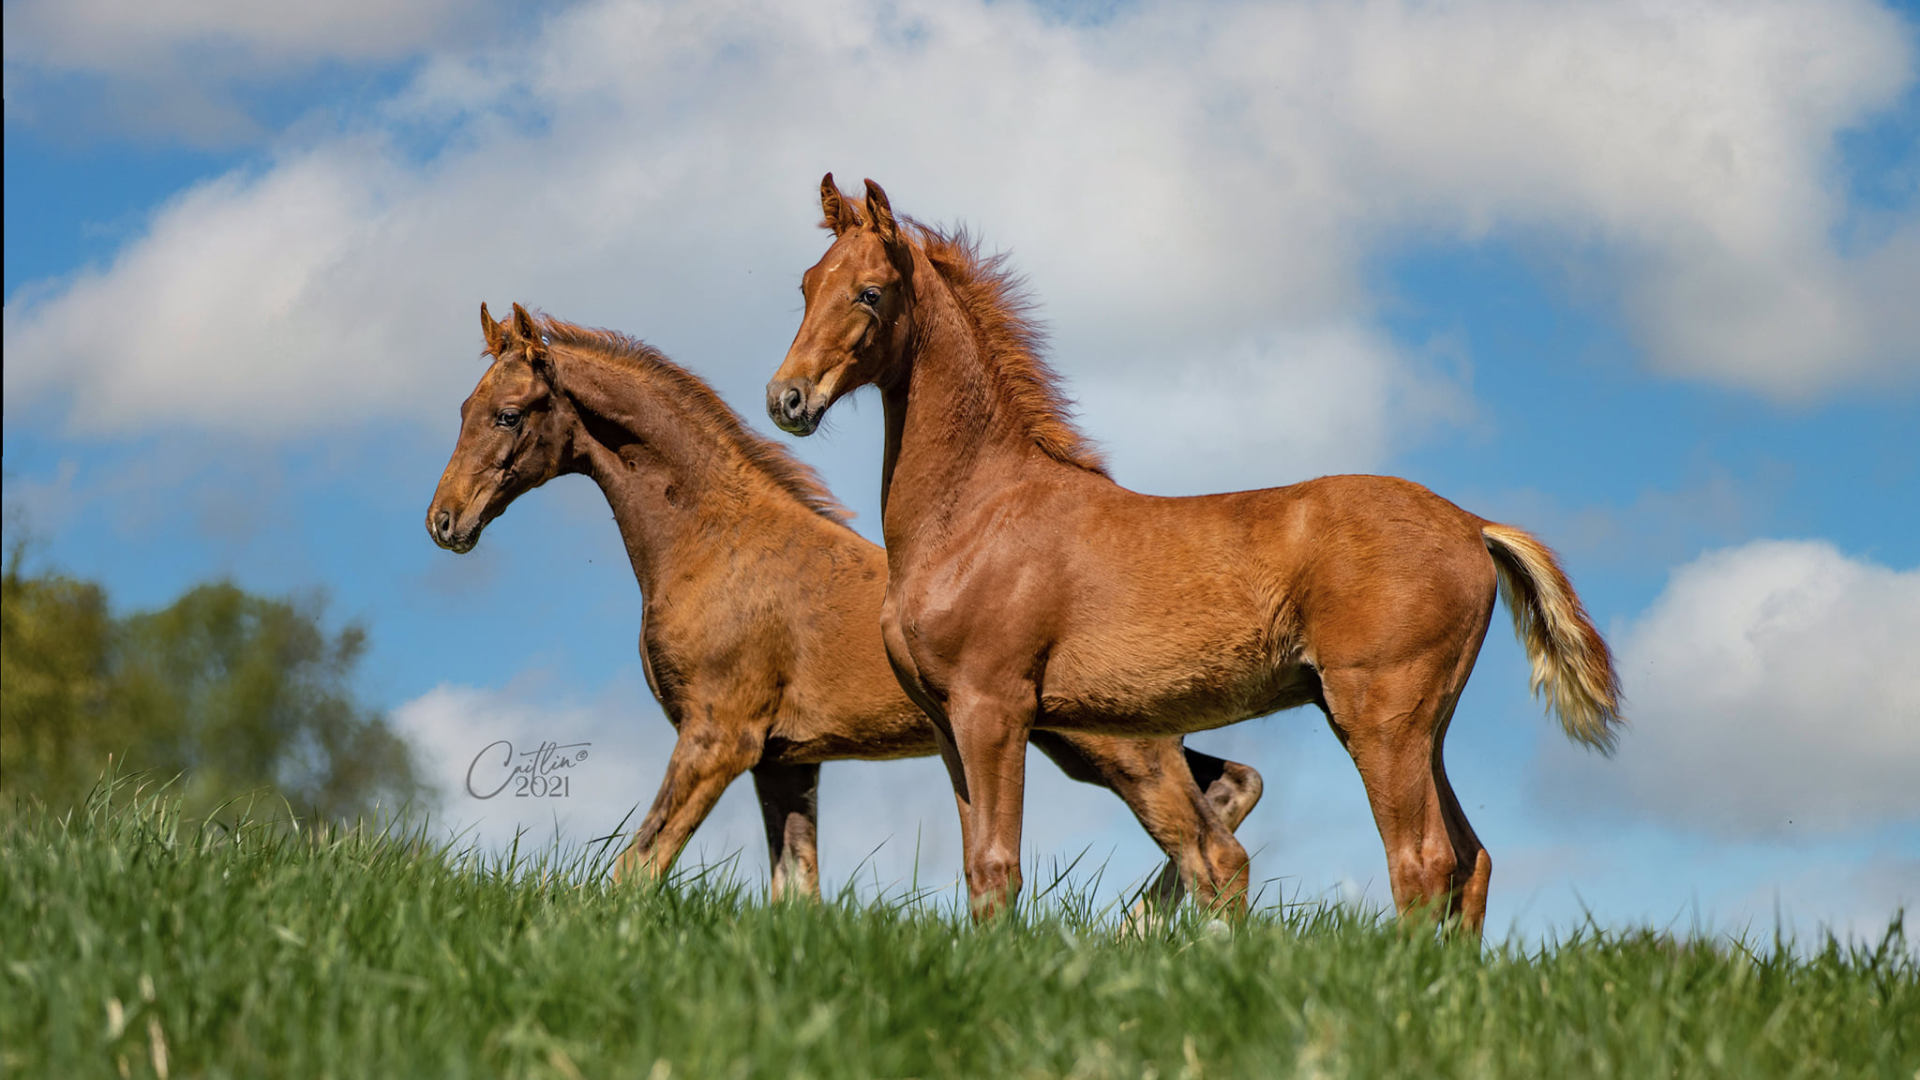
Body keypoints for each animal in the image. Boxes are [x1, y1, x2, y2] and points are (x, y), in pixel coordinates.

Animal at [427, 302, 1266, 909]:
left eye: (508, 414)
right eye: (462, 407)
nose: (444, 522)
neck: (715, 540)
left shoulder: (719, 737)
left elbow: (636, 868)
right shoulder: (786, 761)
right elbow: (794, 892)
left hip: (1120, 748)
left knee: (1215, 845)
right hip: (1086, 740)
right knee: (1232, 788)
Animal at [765, 177, 1625, 934]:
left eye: (870, 292)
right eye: (806, 284)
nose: (788, 399)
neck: (980, 511)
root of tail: (1473, 524)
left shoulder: (994, 707)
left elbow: (997, 865)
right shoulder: (949, 724)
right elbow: (979, 863)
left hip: (1383, 717)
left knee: (1423, 860)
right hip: (1419, 724)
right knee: (1472, 860)